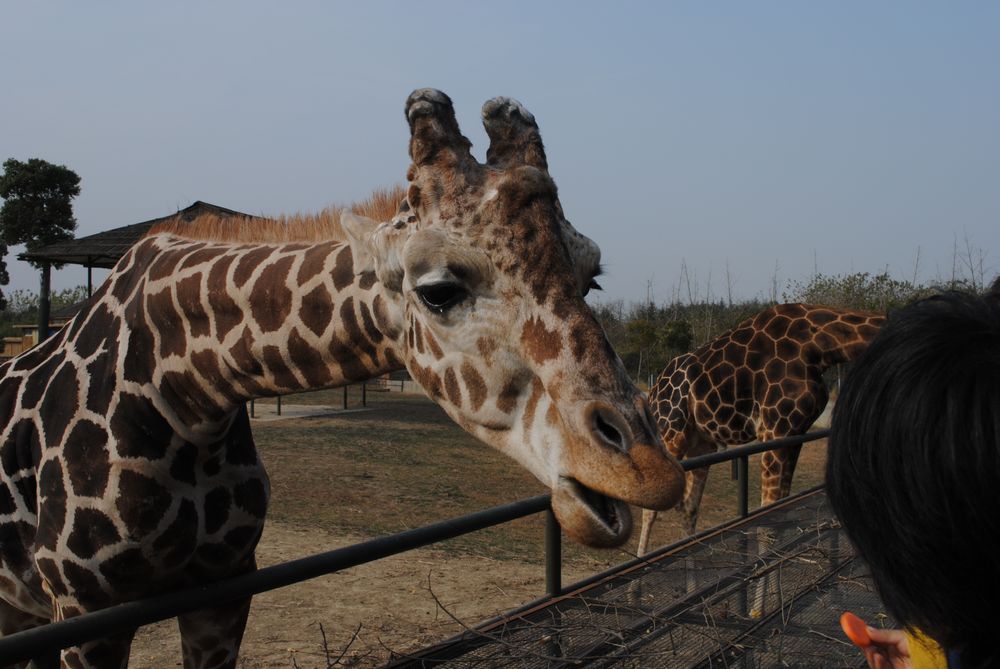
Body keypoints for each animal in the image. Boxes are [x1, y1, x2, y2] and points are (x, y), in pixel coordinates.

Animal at [0, 88, 688, 668]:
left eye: (591, 277)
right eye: (439, 290)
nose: (647, 470)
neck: (186, 393)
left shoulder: (224, 589)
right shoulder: (86, 608)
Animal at [636, 302, 888, 552]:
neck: (820, 347)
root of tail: (653, 392)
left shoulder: (795, 433)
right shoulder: (773, 428)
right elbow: (767, 518)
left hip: (701, 443)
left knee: (689, 507)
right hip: (671, 434)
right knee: (650, 509)